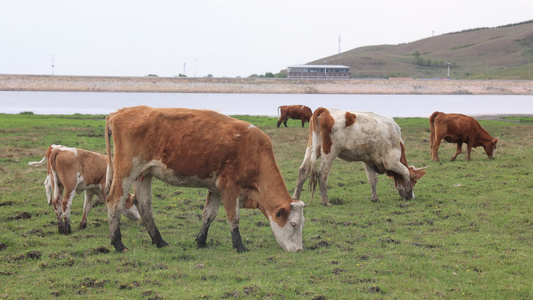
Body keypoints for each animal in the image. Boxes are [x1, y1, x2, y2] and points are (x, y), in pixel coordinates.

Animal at [105, 106, 304, 252]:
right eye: (293, 224)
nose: (298, 250)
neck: (256, 153)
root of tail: (119, 112)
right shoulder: (230, 187)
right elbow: (233, 217)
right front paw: (239, 246)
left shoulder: (216, 188)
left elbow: (209, 215)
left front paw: (201, 241)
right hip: (126, 171)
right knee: (115, 200)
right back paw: (118, 244)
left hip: (143, 174)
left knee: (145, 206)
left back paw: (160, 241)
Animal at [288, 108, 426, 206]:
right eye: (415, 180)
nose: (411, 197)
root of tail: (324, 110)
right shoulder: (392, 161)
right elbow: (405, 172)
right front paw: (409, 192)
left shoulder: (369, 161)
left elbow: (373, 180)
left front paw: (375, 198)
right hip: (330, 151)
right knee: (322, 174)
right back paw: (326, 201)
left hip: (312, 148)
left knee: (303, 170)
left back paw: (295, 198)